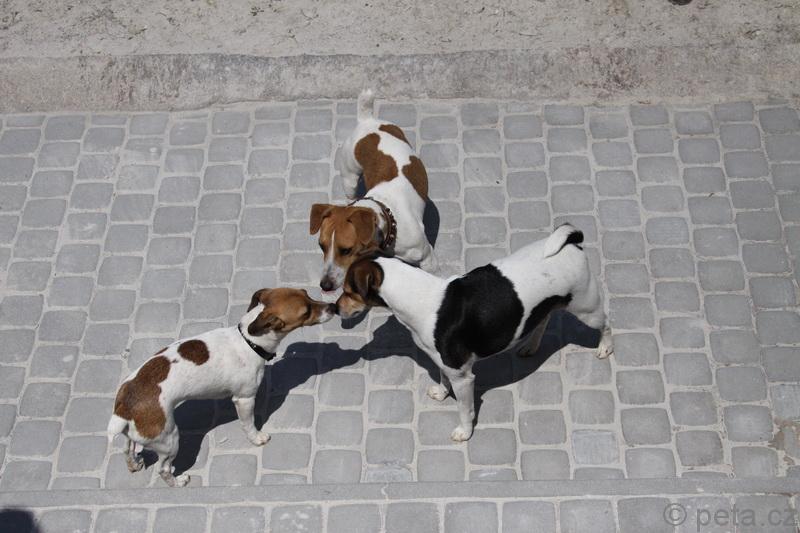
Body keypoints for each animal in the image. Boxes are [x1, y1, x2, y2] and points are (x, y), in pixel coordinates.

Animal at [107, 288, 335, 487]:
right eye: (306, 311)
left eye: (307, 293)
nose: (333, 306)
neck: (249, 341)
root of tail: (124, 410)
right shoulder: (244, 399)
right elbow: (249, 424)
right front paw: (257, 438)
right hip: (169, 440)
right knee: (163, 469)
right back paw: (178, 482)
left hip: (135, 437)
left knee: (127, 449)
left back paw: (134, 464)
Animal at [310, 89, 437, 294]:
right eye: (321, 246)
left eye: (346, 250)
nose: (325, 285)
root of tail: (366, 120)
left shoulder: (428, 258)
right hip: (349, 180)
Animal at [336, 224, 613, 442]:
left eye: (348, 291)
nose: (335, 308)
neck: (419, 297)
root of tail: (572, 244)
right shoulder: (444, 364)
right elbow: (443, 379)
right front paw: (441, 393)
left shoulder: (463, 377)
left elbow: (464, 409)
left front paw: (464, 432)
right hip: (548, 306)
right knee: (543, 319)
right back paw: (531, 346)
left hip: (587, 309)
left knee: (606, 324)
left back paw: (605, 348)